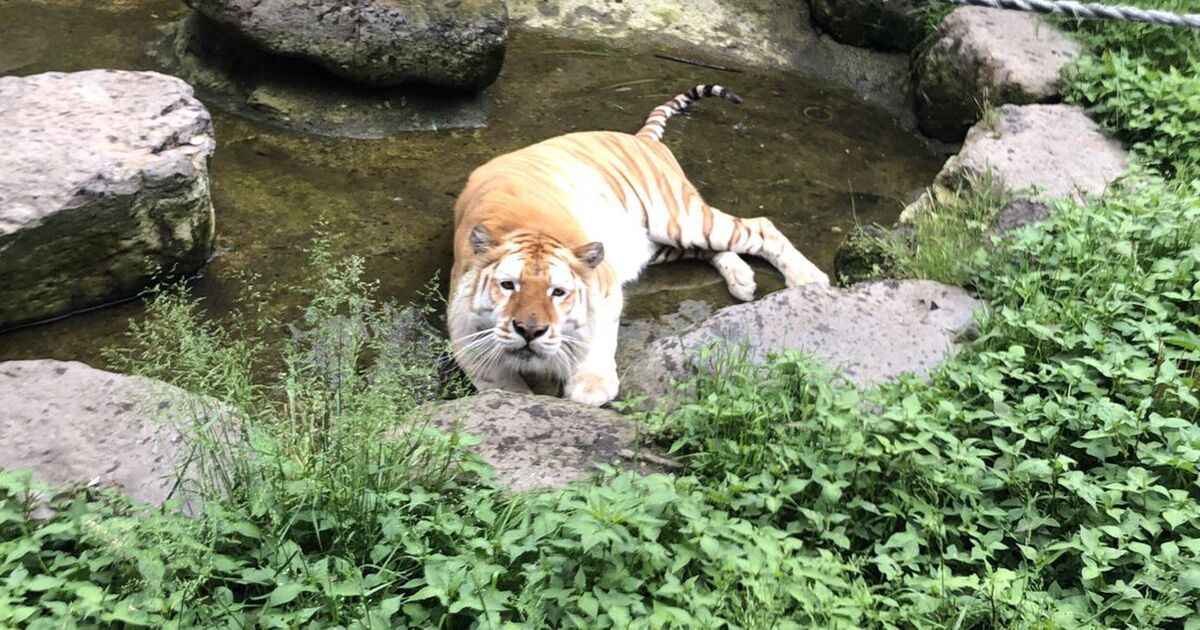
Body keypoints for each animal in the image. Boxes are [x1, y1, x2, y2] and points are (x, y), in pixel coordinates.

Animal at [446, 83, 830, 405]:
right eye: (508, 286)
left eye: (558, 292)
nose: (530, 331)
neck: (528, 228)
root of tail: (641, 139)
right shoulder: (463, 327)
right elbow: (492, 375)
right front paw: (515, 397)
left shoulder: (603, 289)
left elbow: (596, 338)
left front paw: (590, 387)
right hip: (659, 244)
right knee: (715, 248)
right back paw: (742, 280)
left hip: (678, 219)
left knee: (760, 227)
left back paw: (808, 279)